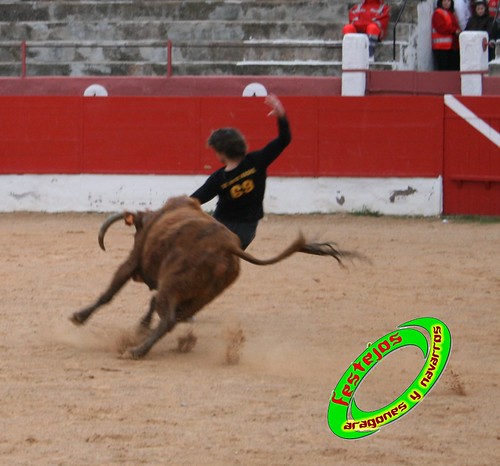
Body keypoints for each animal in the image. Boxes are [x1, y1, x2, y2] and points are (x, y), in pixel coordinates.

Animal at [70, 195, 362, 358]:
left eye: (136, 232)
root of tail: (227, 247)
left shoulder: (132, 261)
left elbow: (109, 293)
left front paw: (78, 317)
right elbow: (149, 303)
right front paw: (140, 326)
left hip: (174, 283)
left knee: (168, 318)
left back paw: (136, 351)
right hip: (201, 295)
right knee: (172, 317)